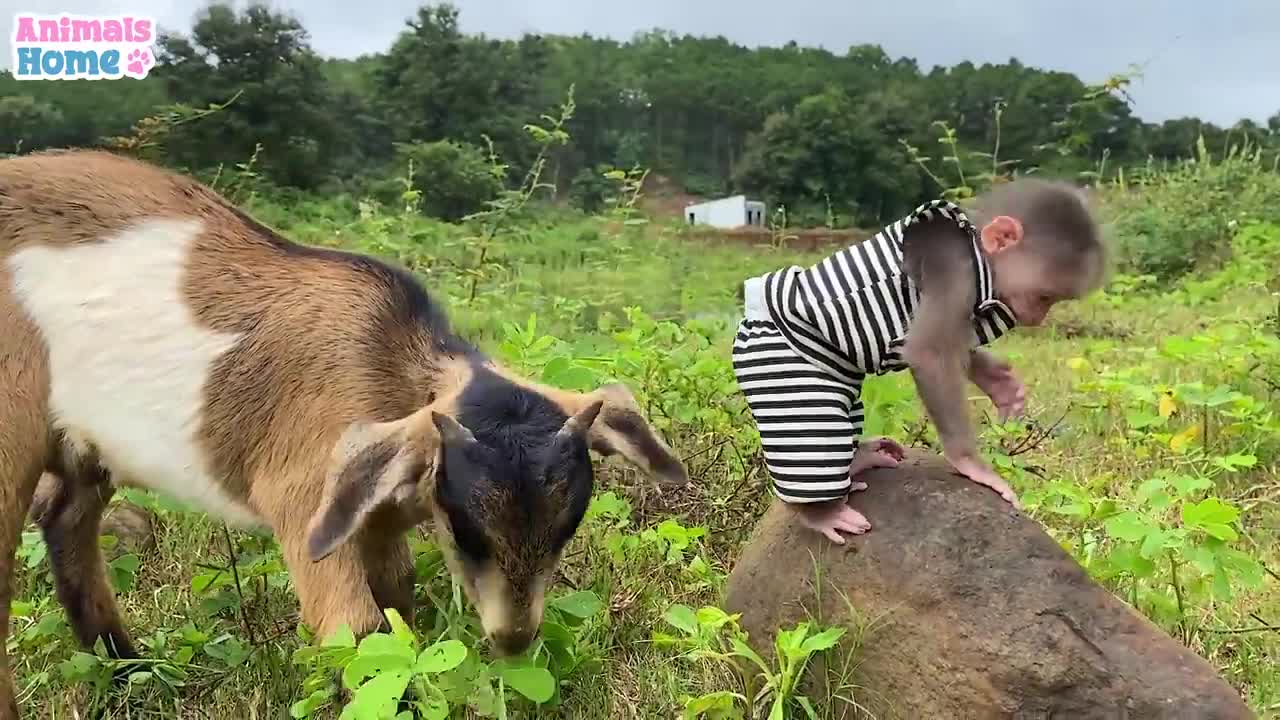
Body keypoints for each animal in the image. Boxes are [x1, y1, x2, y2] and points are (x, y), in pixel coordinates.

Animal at [0, 148, 691, 712]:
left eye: (565, 530)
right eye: (465, 530)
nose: (513, 638)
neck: (394, 367)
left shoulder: (376, 509)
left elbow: (399, 606)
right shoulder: (304, 494)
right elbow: (354, 628)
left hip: (84, 449)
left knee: (64, 516)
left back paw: (129, 667)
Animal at [737, 176, 1105, 540]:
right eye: (1044, 297)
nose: (1038, 318)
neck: (978, 250)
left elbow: (953, 345)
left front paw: (999, 383)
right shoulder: (954, 269)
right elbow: (930, 351)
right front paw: (971, 464)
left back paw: (860, 460)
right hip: (788, 377)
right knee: (813, 443)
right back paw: (821, 514)